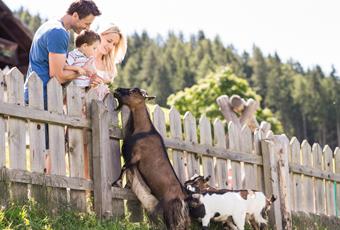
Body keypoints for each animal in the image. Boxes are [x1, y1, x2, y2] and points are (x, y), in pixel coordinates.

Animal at [113, 87, 189, 229]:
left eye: (131, 92)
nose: (116, 90)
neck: (144, 130)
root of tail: (181, 198)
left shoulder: (135, 156)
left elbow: (124, 167)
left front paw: (116, 183)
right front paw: (126, 185)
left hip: (170, 213)